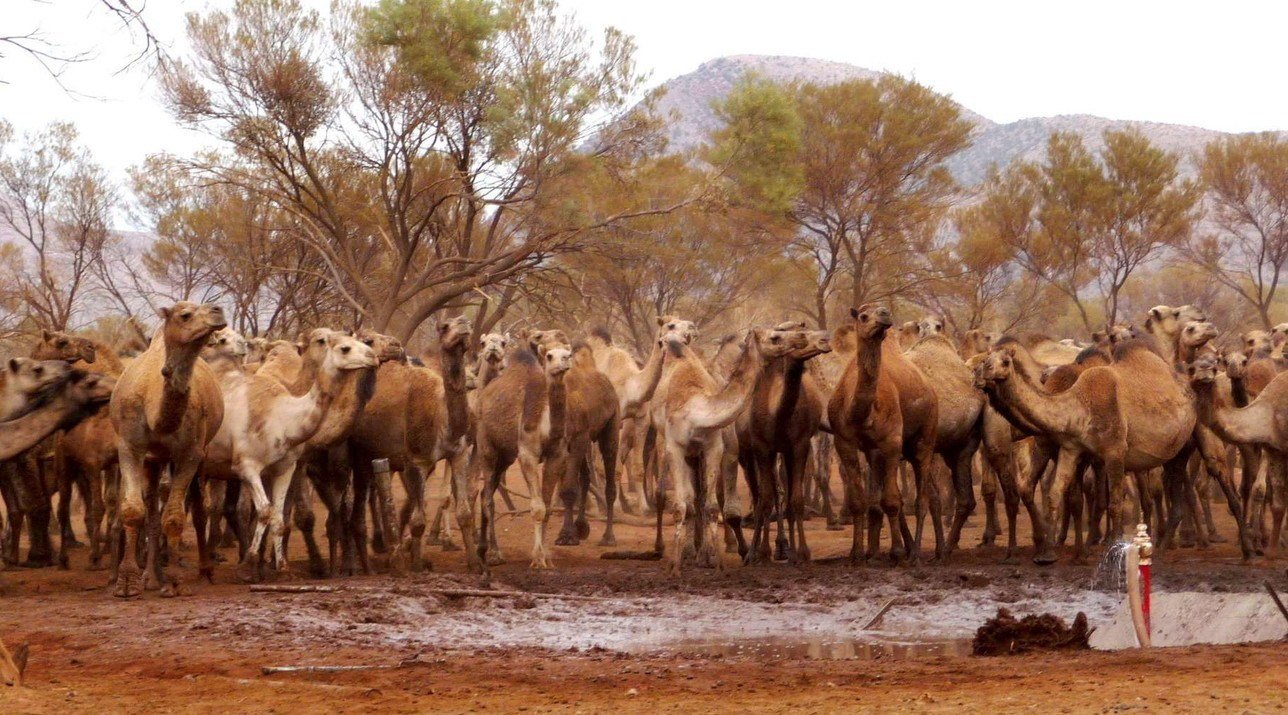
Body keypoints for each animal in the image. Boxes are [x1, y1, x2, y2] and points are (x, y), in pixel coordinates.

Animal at [109, 302, 227, 597]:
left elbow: (173, 517)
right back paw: (151, 577)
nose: (218, 310)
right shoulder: (130, 447)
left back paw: (203, 571)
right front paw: (126, 583)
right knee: (152, 510)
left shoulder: (190, 453)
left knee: (198, 509)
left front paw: (174, 582)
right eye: (185, 315)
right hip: (153, 461)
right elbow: (133, 511)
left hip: (198, 454)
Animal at [659, 324, 808, 577]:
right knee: (689, 501)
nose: (800, 337)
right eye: (774, 337)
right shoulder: (674, 449)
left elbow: (710, 506)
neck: (696, 410)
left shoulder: (714, 446)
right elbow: (681, 506)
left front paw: (718, 565)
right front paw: (676, 568)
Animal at [829, 306, 942, 564]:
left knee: (923, 497)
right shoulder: (844, 443)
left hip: (925, 438)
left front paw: (898, 552)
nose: (884, 314)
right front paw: (857, 554)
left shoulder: (891, 442)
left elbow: (891, 501)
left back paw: (916, 553)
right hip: (888, 451)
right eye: (862, 316)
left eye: (882, 311)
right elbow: (860, 502)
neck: (860, 412)